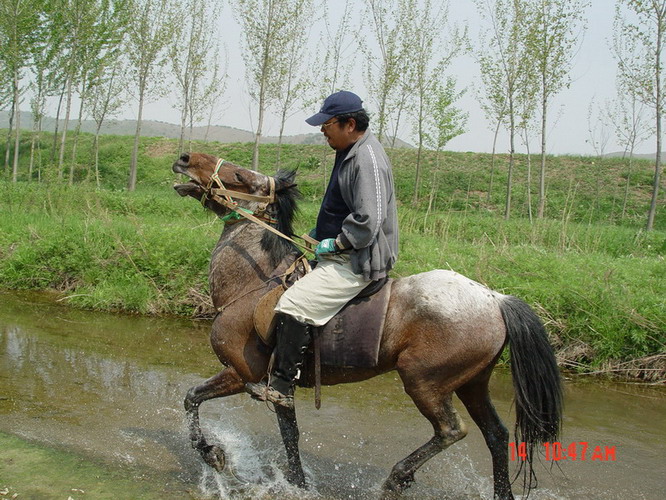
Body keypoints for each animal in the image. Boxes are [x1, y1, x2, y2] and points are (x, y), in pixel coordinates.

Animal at [170, 152, 560, 500]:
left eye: (239, 177)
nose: (185, 158)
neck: (252, 285)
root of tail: (495, 298)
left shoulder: (242, 374)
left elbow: (192, 398)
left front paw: (211, 453)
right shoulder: (279, 386)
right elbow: (289, 437)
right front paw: (298, 485)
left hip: (425, 381)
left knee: (451, 430)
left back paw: (397, 478)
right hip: (471, 382)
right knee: (496, 435)